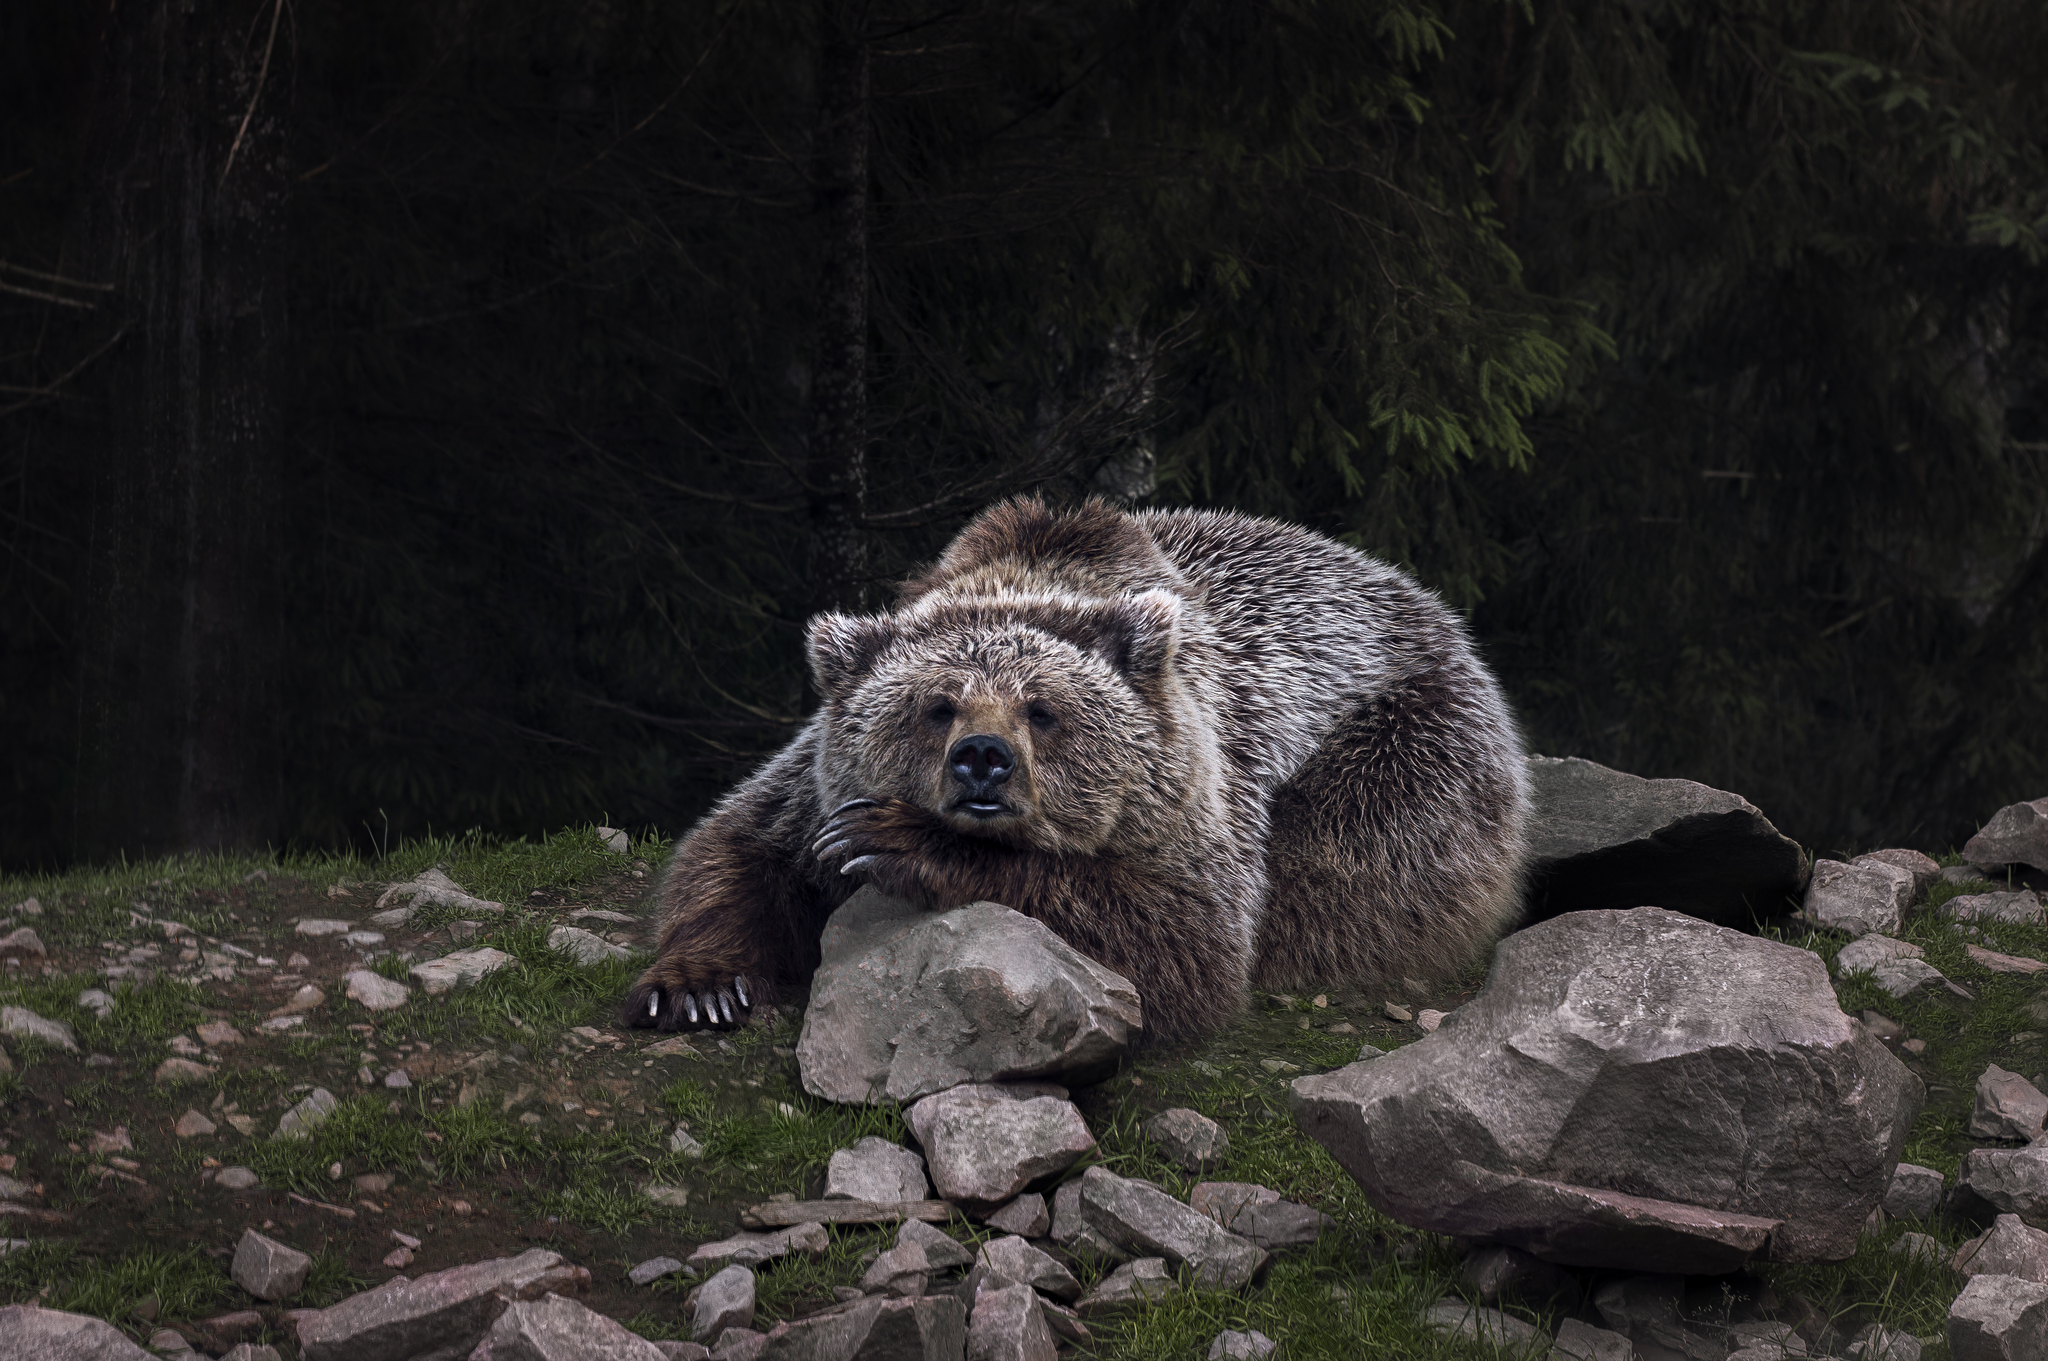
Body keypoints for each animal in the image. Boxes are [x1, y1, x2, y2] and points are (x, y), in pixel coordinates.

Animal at [614, 493, 1531, 1035]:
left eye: (1042, 709)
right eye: (938, 704)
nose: (982, 761)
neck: (1031, 577)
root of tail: (1425, 602)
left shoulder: (1201, 786)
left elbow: (1185, 936)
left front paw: (905, 843)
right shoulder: (809, 783)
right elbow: (737, 849)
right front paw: (697, 983)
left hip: (1404, 743)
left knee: (1344, 870)